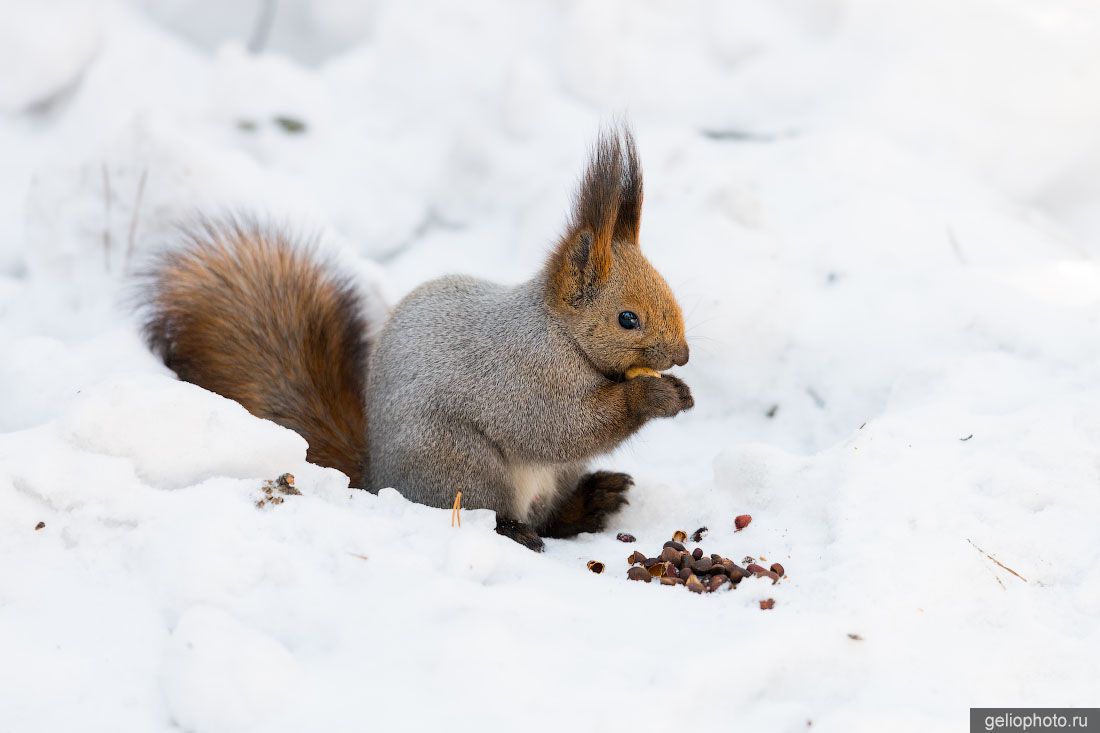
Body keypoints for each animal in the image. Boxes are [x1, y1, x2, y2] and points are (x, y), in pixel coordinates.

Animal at [135, 127, 686, 548]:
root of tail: (379, 479)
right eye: (627, 319)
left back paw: (592, 502)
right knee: (497, 513)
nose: (682, 356)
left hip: (547, 474)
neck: (557, 332)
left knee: (549, 516)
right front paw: (653, 395)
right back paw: (515, 530)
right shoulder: (520, 376)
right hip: (461, 465)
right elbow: (559, 426)